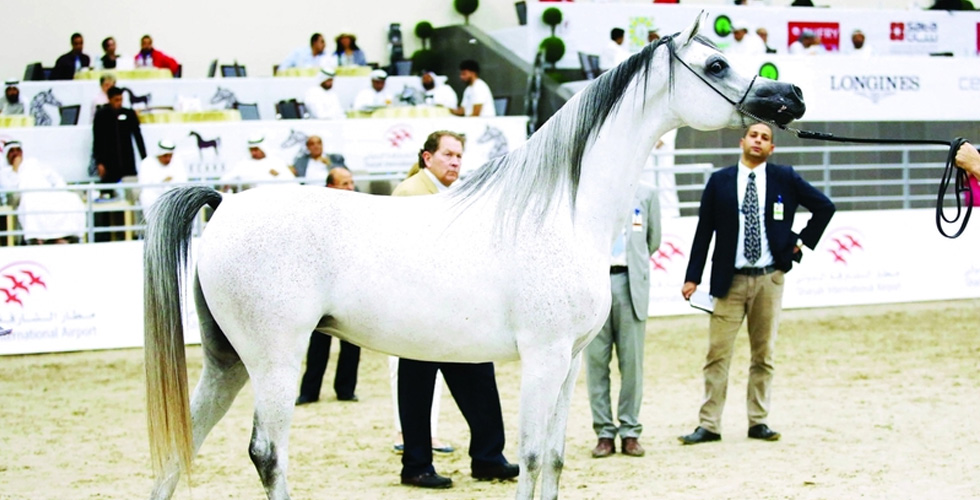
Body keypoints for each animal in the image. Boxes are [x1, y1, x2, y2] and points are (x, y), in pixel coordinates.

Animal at [144, 12, 804, 500]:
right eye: (716, 63)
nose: (792, 93)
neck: (560, 211)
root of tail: (225, 206)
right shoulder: (542, 358)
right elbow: (533, 456)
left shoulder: (568, 361)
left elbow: (554, 459)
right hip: (275, 361)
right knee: (268, 455)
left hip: (227, 362)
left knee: (180, 449)